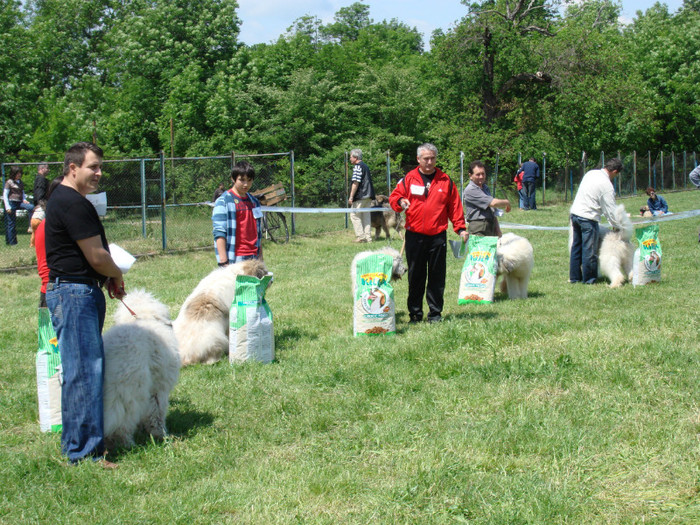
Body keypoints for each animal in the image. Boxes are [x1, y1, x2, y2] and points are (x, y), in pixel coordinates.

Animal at [103, 288, 182, 448]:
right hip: (132, 392)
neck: (145, 317)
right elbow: (156, 412)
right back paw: (127, 444)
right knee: (123, 422)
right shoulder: (158, 388)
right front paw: (160, 434)